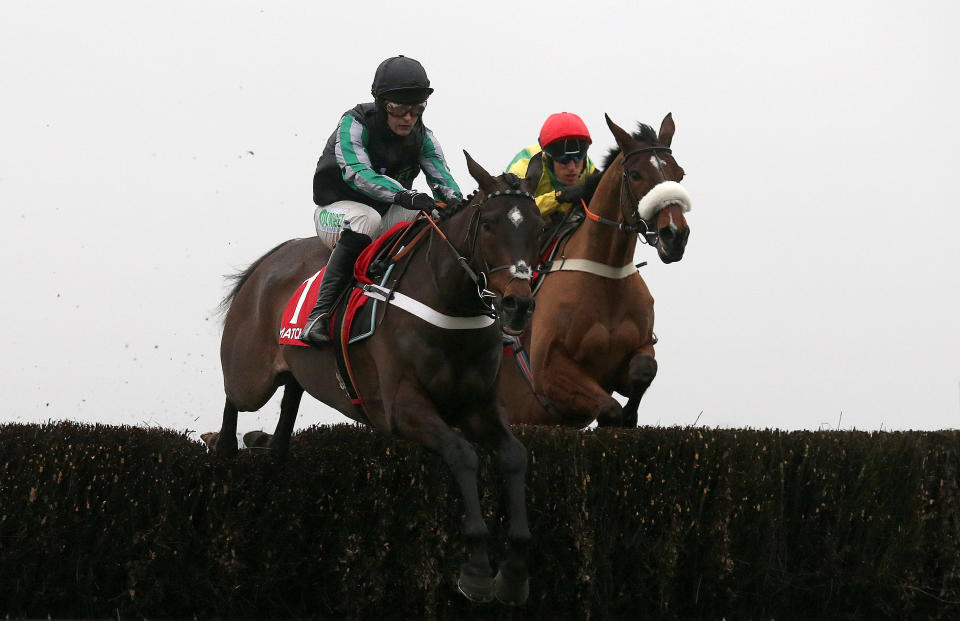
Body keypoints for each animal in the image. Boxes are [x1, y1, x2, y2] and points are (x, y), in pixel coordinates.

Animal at [218, 155, 548, 604]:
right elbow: (463, 454)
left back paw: (274, 452)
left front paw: (513, 571)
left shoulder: (478, 405)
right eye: (490, 224)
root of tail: (268, 261)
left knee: (290, 399)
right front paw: (478, 569)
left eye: (539, 228)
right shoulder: (401, 408)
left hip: (294, 370)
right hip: (250, 376)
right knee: (234, 397)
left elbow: (515, 456)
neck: (449, 303)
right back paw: (224, 454)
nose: (518, 305)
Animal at [498, 112, 692, 426]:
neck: (607, 277)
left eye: (680, 174)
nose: (675, 235)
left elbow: (643, 370)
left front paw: (631, 415)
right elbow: (609, 409)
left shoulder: (635, 354)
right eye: (635, 175)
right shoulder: (548, 374)